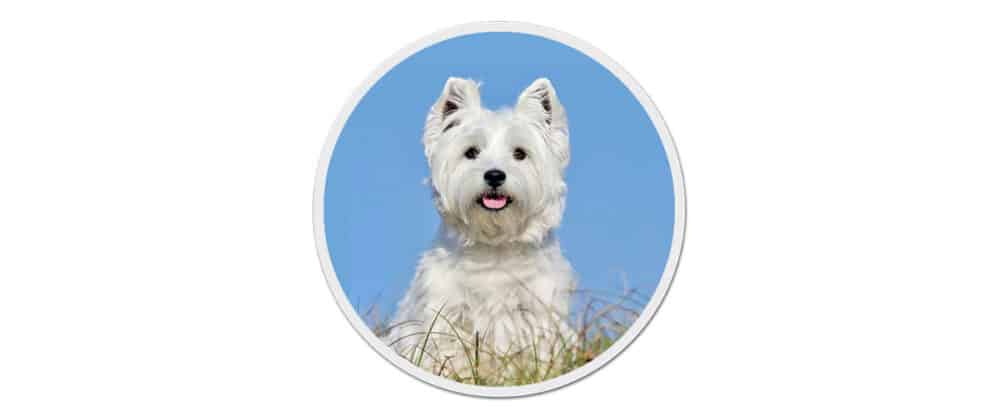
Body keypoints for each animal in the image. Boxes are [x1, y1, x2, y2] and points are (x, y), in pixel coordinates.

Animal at [386, 76, 584, 376]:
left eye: (520, 153)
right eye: (471, 152)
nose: (494, 175)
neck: (495, 246)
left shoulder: (538, 313)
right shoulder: (448, 316)